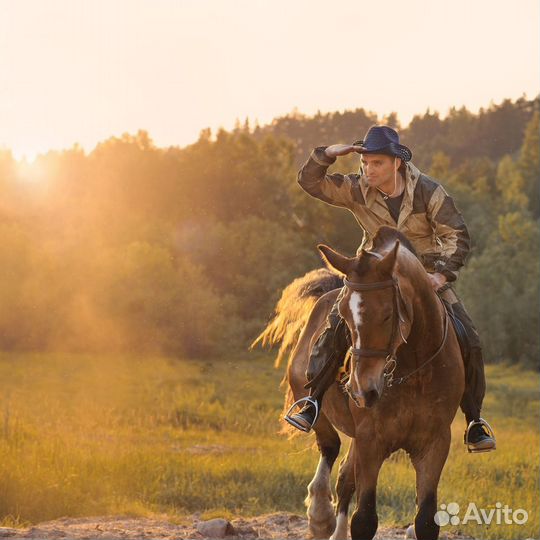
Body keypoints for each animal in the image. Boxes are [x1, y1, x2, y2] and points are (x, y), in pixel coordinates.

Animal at [253, 227, 464, 540]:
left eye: (388, 313)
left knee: (344, 476)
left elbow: (426, 519)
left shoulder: (434, 443)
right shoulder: (370, 441)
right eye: (344, 315)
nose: (362, 390)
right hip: (312, 404)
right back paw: (320, 515)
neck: (414, 371)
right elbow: (364, 518)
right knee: (330, 448)